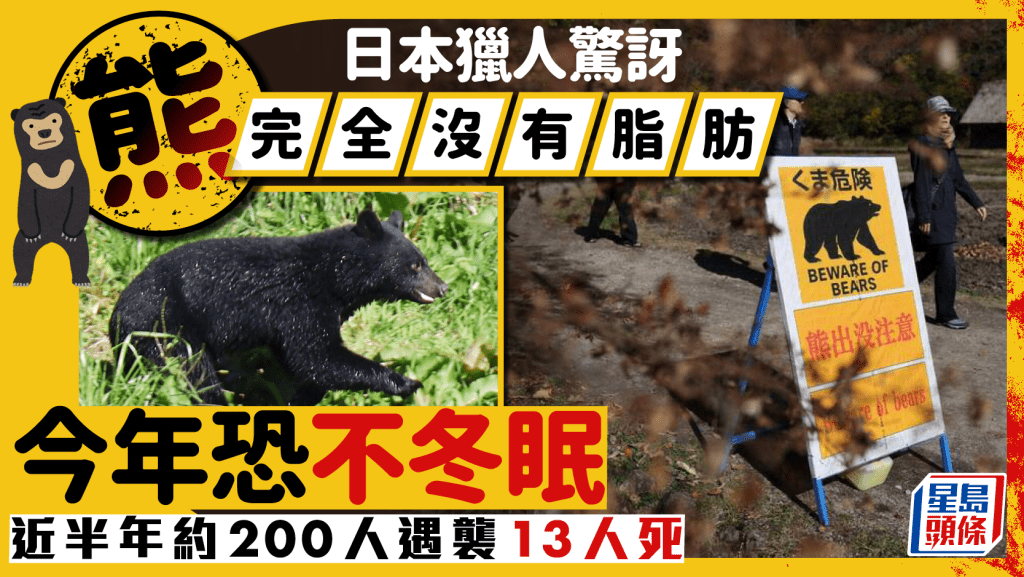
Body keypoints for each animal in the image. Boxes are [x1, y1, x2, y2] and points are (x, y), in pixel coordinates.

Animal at [12, 98, 91, 286]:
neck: (50, 160)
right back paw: (21, 280)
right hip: (23, 241)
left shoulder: (78, 174)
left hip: (79, 242)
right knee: (21, 251)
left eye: (55, 120)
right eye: (30, 125)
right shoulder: (28, 181)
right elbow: (25, 206)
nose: (44, 132)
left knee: (80, 254)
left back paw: (81, 280)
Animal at [108, 208, 449, 406]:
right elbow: (316, 357)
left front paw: (300, 398)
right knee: (194, 373)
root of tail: (116, 317)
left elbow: (298, 364)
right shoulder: (300, 303)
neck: (333, 274)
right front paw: (406, 382)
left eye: (424, 261)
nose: (443, 287)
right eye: (415, 265)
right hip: (164, 327)